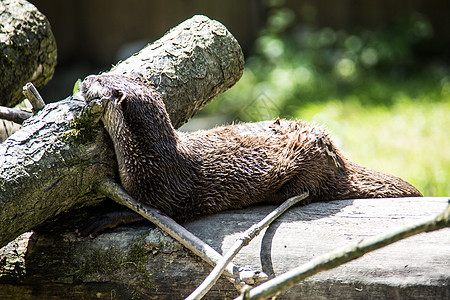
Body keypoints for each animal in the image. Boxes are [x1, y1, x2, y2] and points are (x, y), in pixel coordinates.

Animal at [78, 74, 422, 236]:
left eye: (100, 81)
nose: (85, 79)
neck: (149, 158)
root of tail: (338, 158)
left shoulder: (165, 192)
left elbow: (146, 212)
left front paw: (100, 219)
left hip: (307, 166)